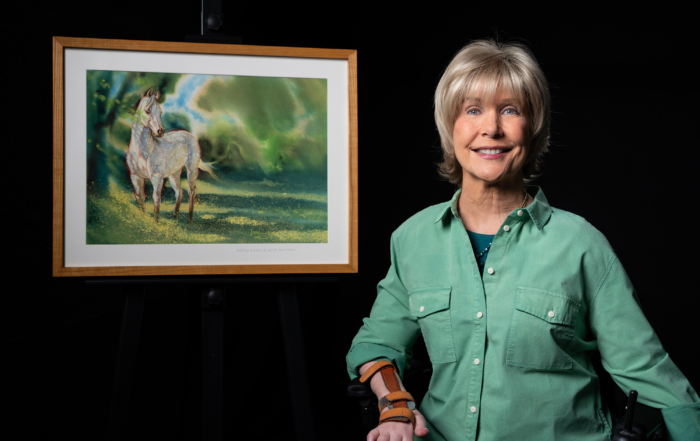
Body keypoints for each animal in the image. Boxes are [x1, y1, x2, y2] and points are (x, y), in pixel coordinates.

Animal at [124, 87, 215, 222]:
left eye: (160, 112)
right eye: (147, 110)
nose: (160, 131)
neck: (142, 152)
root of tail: (189, 135)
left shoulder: (157, 178)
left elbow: (156, 199)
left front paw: (155, 223)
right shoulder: (135, 176)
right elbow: (140, 197)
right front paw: (143, 220)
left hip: (191, 170)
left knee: (191, 191)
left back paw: (189, 220)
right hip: (174, 174)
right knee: (179, 192)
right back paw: (175, 217)